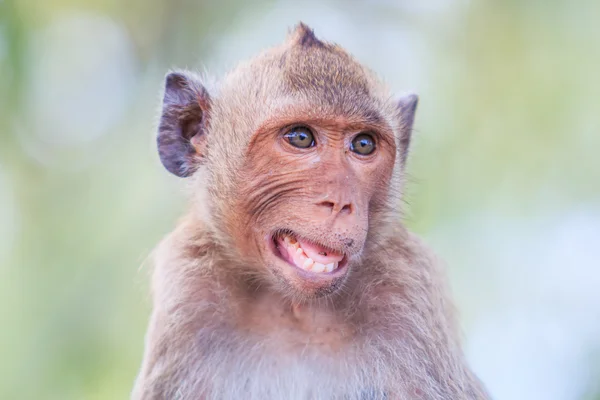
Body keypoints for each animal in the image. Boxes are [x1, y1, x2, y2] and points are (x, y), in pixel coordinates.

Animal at [131, 22, 488, 400]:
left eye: (363, 144)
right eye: (301, 137)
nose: (340, 202)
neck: (294, 308)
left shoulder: (410, 288)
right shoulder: (188, 291)